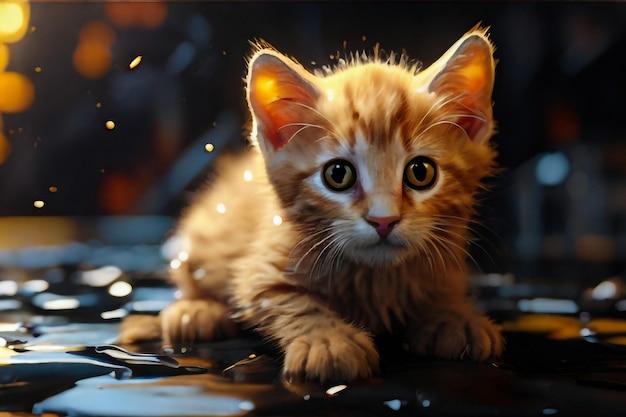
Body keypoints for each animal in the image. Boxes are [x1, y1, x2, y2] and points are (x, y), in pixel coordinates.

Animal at [120, 26, 502, 382]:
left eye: (421, 172)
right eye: (338, 174)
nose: (384, 220)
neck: (374, 278)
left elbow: (441, 287)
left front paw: (453, 316)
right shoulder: (262, 267)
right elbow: (291, 302)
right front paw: (330, 342)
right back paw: (196, 311)